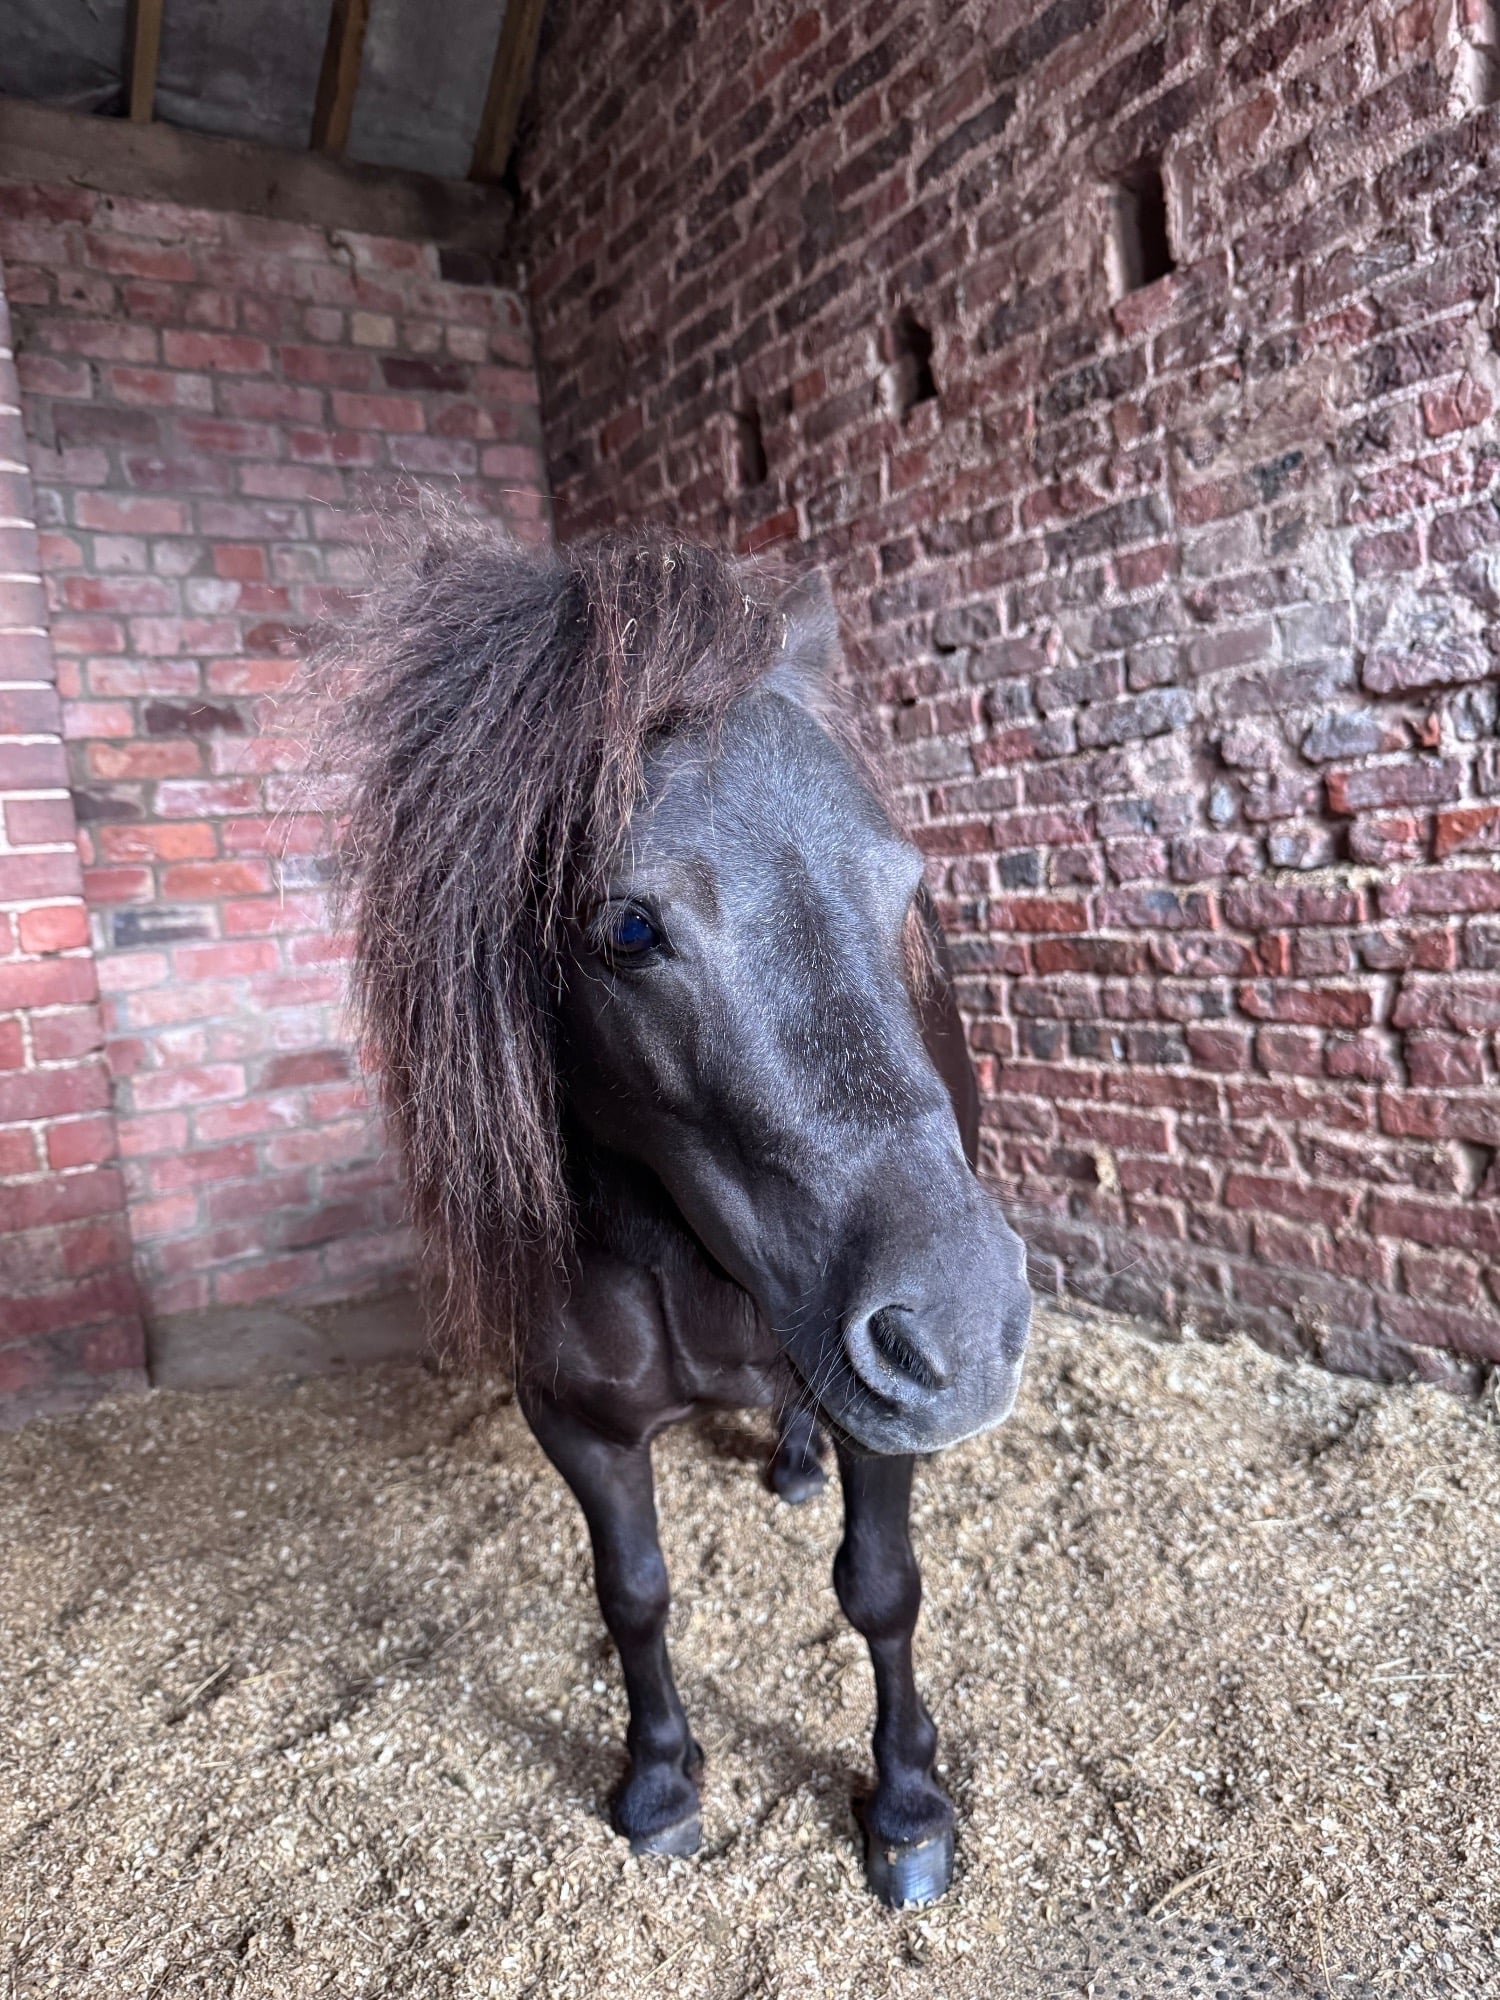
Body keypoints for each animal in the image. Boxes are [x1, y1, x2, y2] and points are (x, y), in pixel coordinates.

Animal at [331, 518, 1033, 1908]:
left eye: (907, 887)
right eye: (628, 925)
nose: (964, 1330)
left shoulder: (881, 1412)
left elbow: (882, 1591)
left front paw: (908, 1804)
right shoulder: (579, 1422)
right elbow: (633, 1594)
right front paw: (660, 1780)